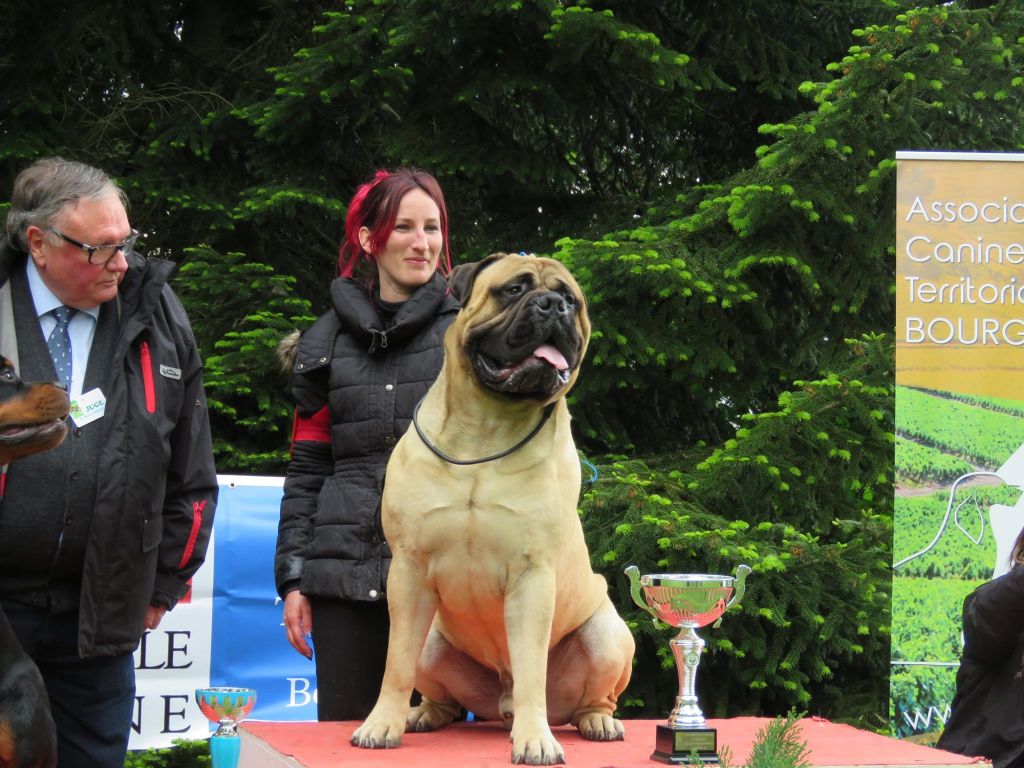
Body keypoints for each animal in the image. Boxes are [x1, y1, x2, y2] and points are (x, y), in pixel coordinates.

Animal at [356, 252, 634, 765]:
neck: (486, 427)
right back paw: (423, 714)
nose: (552, 306)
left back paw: (597, 722)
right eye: (513, 289)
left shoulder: (532, 575)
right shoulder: (408, 570)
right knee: (437, 689)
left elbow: (530, 668)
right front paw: (381, 724)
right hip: (432, 640)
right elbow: (395, 663)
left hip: (607, 636)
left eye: (570, 299)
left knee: (592, 695)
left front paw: (534, 738)